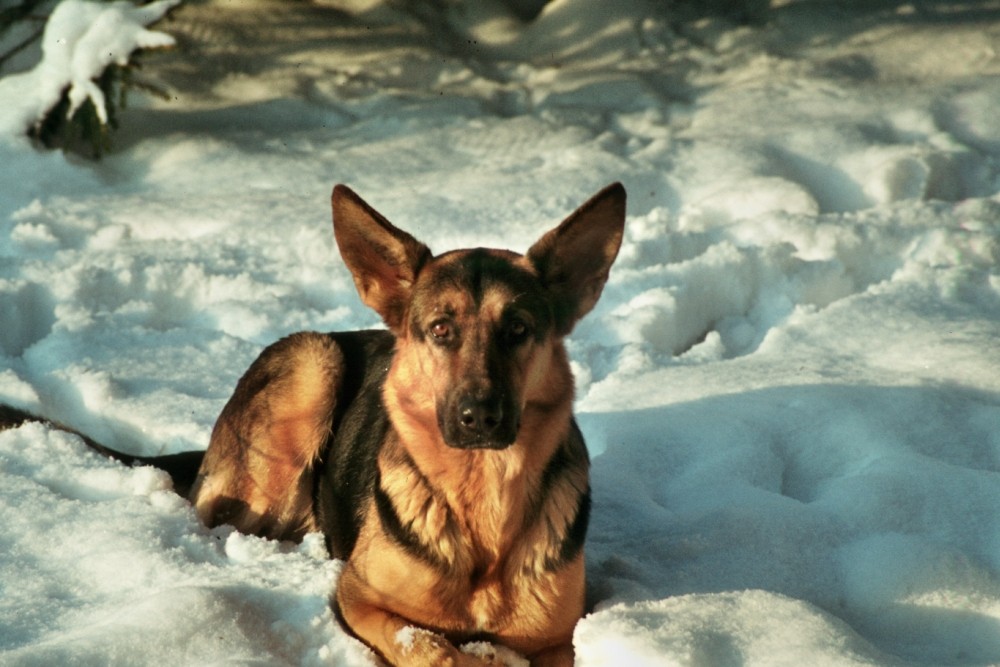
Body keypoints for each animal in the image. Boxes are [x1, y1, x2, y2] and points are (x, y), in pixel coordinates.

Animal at [0, 184, 624, 667]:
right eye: (441, 329)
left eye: (518, 329)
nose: (480, 418)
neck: (480, 505)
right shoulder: (359, 597)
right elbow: (429, 646)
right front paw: (475, 654)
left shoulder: (559, 640)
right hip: (311, 367)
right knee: (214, 514)